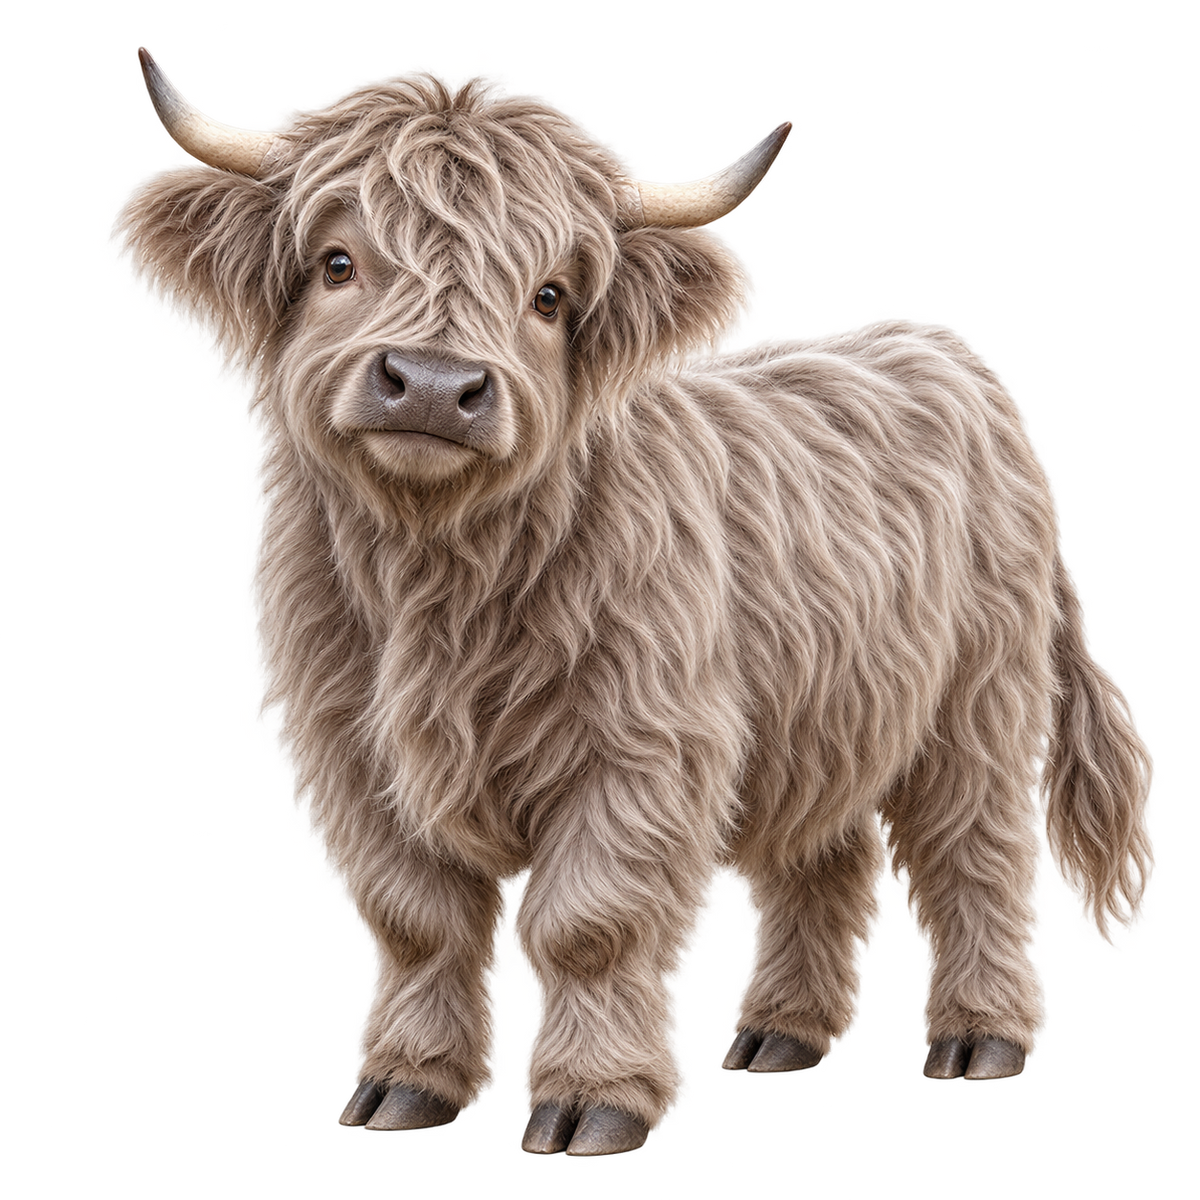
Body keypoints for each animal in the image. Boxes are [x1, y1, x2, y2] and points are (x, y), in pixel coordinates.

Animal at [106, 46, 1159, 1157]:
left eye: (550, 295)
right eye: (338, 264)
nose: (433, 385)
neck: (437, 578)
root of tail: (943, 350)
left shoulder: (641, 748)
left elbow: (589, 922)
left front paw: (593, 1101)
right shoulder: (352, 753)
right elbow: (418, 917)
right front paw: (407, 1086)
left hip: (978, 700)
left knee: (977, 854)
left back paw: (981, 1038)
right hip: (827, 710)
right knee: (826, 860)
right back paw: (781, 1035)